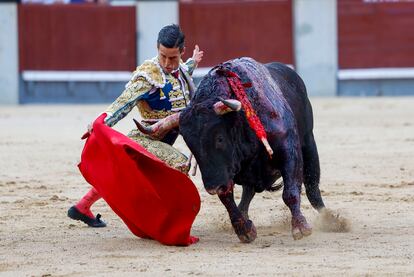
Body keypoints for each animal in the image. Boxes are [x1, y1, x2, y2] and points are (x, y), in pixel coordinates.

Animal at [137, 57, 332, 240]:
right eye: (190, 145)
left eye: (220, 138)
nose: (213, 188)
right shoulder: (224, 171)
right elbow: (227, 198)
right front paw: (244, 230)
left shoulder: (288, 150)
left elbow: (290, 192)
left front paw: (300, 227)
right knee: (248, 193)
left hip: (308, 142)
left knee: (312, 186)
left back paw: (330, 220)